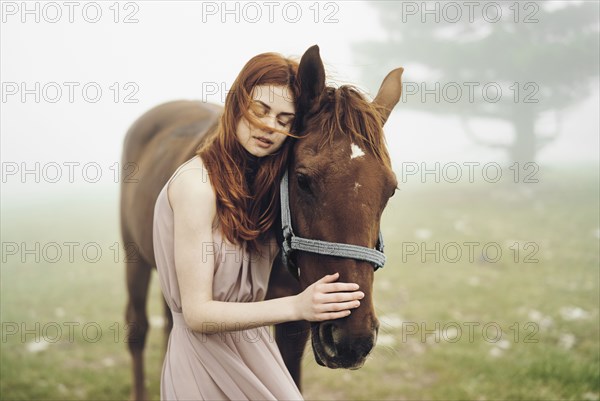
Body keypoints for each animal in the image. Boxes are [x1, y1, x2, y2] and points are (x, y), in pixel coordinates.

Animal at [120, 45, 404, 398]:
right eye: (303, 180)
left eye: (390, 190)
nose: (352, 341)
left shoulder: (296, 322)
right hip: (133, 256)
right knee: (138, 328)